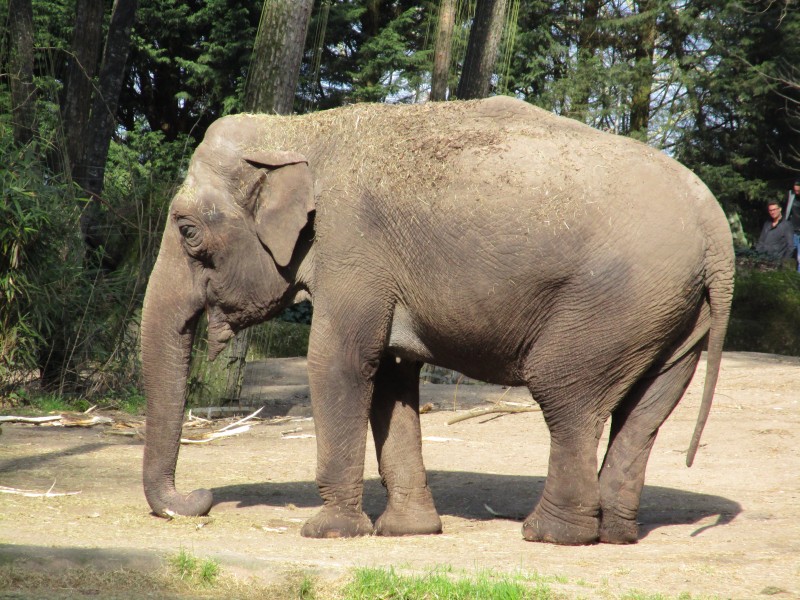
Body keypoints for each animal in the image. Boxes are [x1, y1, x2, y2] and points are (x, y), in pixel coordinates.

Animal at [141, 96, 736, 548]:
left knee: (566, 394)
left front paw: (328, 532)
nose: (200, 500)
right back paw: (614, 534)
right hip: (675, 315)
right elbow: (389, 374)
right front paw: (408, 531)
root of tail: (715, 225)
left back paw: (550, 535)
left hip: (612, 303)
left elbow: (339, 363)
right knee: (645, 414)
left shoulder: (353, 249)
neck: (300, 130)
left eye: (188, 231)